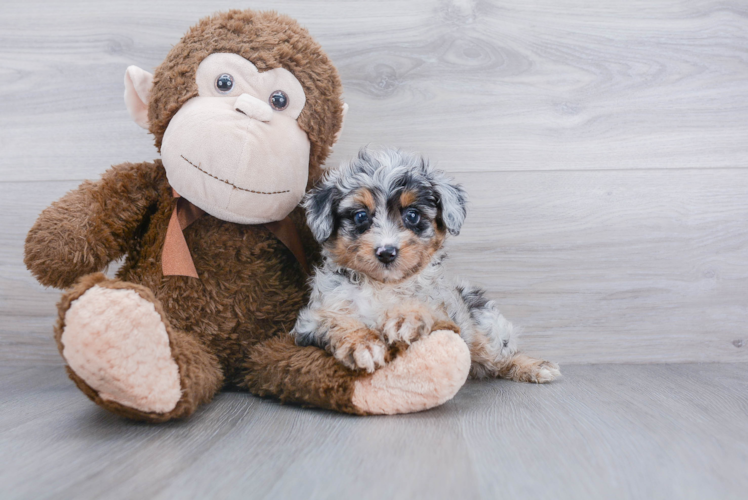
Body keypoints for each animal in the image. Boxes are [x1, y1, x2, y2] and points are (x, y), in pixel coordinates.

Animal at [292, 148, 560, 382]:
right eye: (360, 216)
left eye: (412, 215)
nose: (386, 252)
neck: (383, 285)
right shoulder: (310, 319)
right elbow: (337, 320)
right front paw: (364, 345)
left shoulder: (447, 315)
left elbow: (427, 308)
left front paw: (405, 318)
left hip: (483, 324)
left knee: (500, 356)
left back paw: (537, 367)